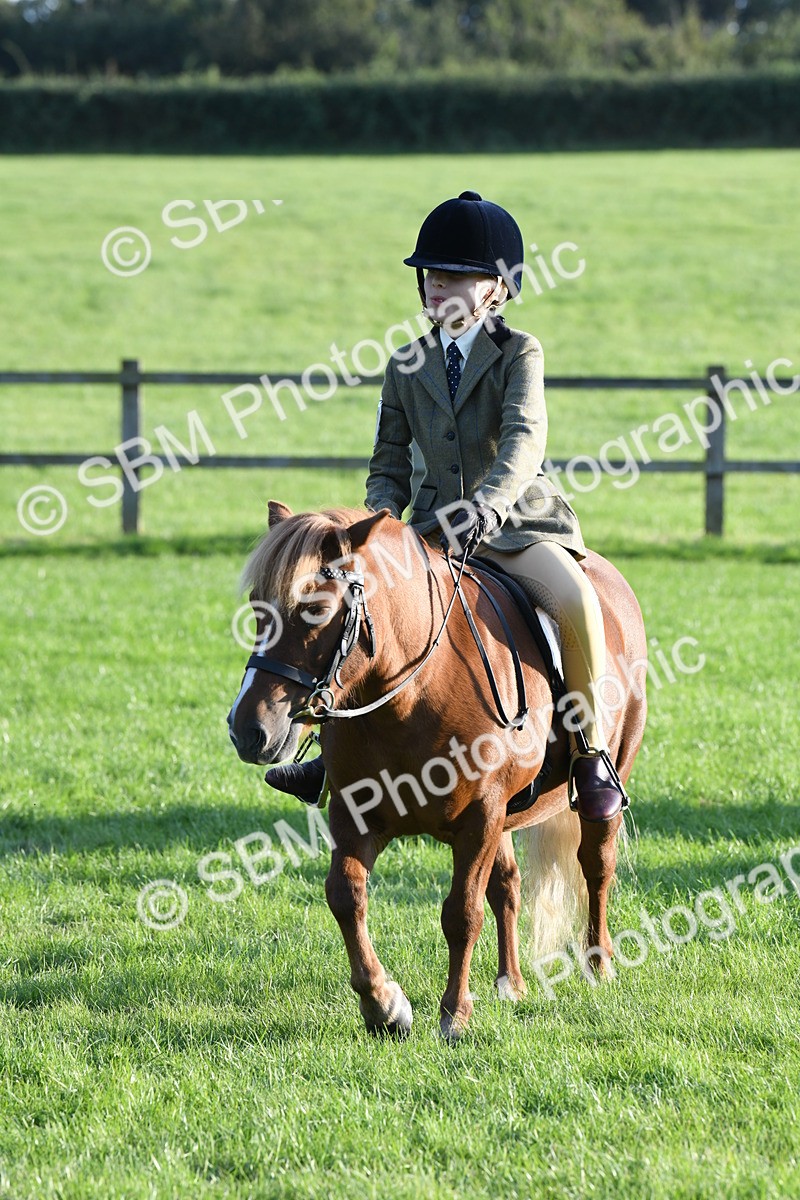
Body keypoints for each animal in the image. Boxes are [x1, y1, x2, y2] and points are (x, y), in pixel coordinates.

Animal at [228, 501, 647, 1040]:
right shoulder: (358, 813)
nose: (247, 730)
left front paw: (454, 1015)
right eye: (257, 607)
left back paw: (598, 964)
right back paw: (511, 983)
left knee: (596, 865)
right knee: (508, 886)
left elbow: (461, 913)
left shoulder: (481, 816)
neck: (413, 694)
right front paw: (384, 1005)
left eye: (316, 610)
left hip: (603, 779)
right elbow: (345, 895)